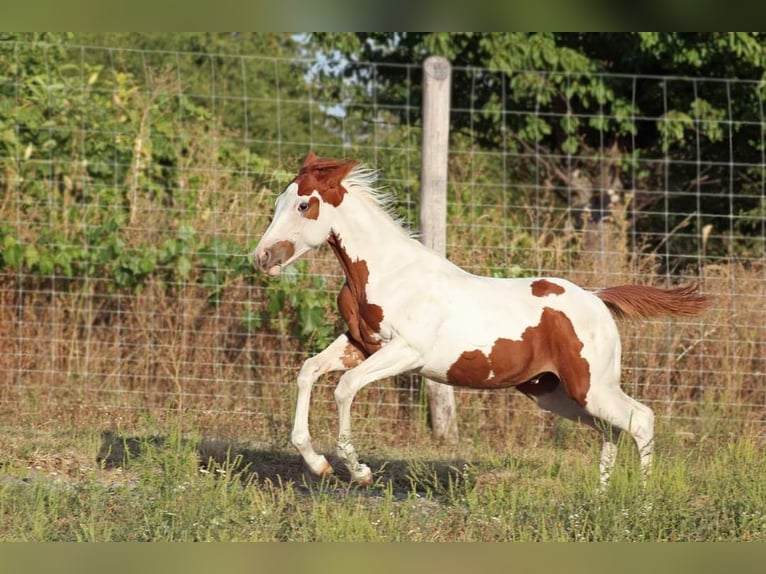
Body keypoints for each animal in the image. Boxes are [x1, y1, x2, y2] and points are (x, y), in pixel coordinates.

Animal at [255, 152, 712, 486]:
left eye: (304, 204)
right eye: (278, 203)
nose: (262, 257)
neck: (389, 272)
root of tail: (598, 299)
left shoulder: (406, 353)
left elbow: (345, 388)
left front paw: (360, 471)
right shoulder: (358, 344)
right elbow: (309, 371)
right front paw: (318, 463)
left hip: (592, 387)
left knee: (640, 420)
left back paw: (642, 502)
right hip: (554, 392)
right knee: (611, 430)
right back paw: (602, 496)